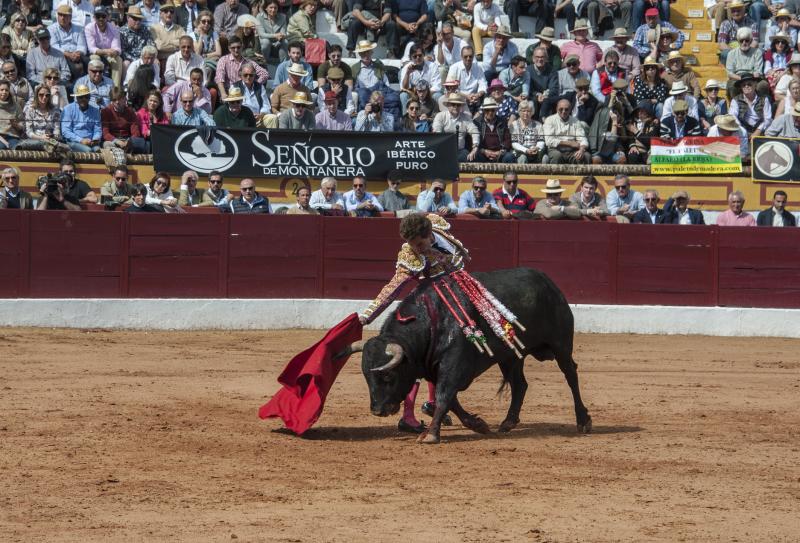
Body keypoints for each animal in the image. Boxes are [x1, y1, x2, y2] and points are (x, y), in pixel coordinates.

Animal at [342, 266, 588, 444]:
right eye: (366, 377)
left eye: (388, 376)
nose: (377, 410)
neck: (430, 320)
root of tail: (548, 282)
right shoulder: (434, 367)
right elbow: (450, 401)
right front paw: (477, 424)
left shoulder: (454, 365)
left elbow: (444, 396)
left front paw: (431, 435)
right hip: (510, 356)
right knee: (520, 384)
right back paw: (508, 422)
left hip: (561, 343)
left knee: (571, 375)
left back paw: (583, 420)